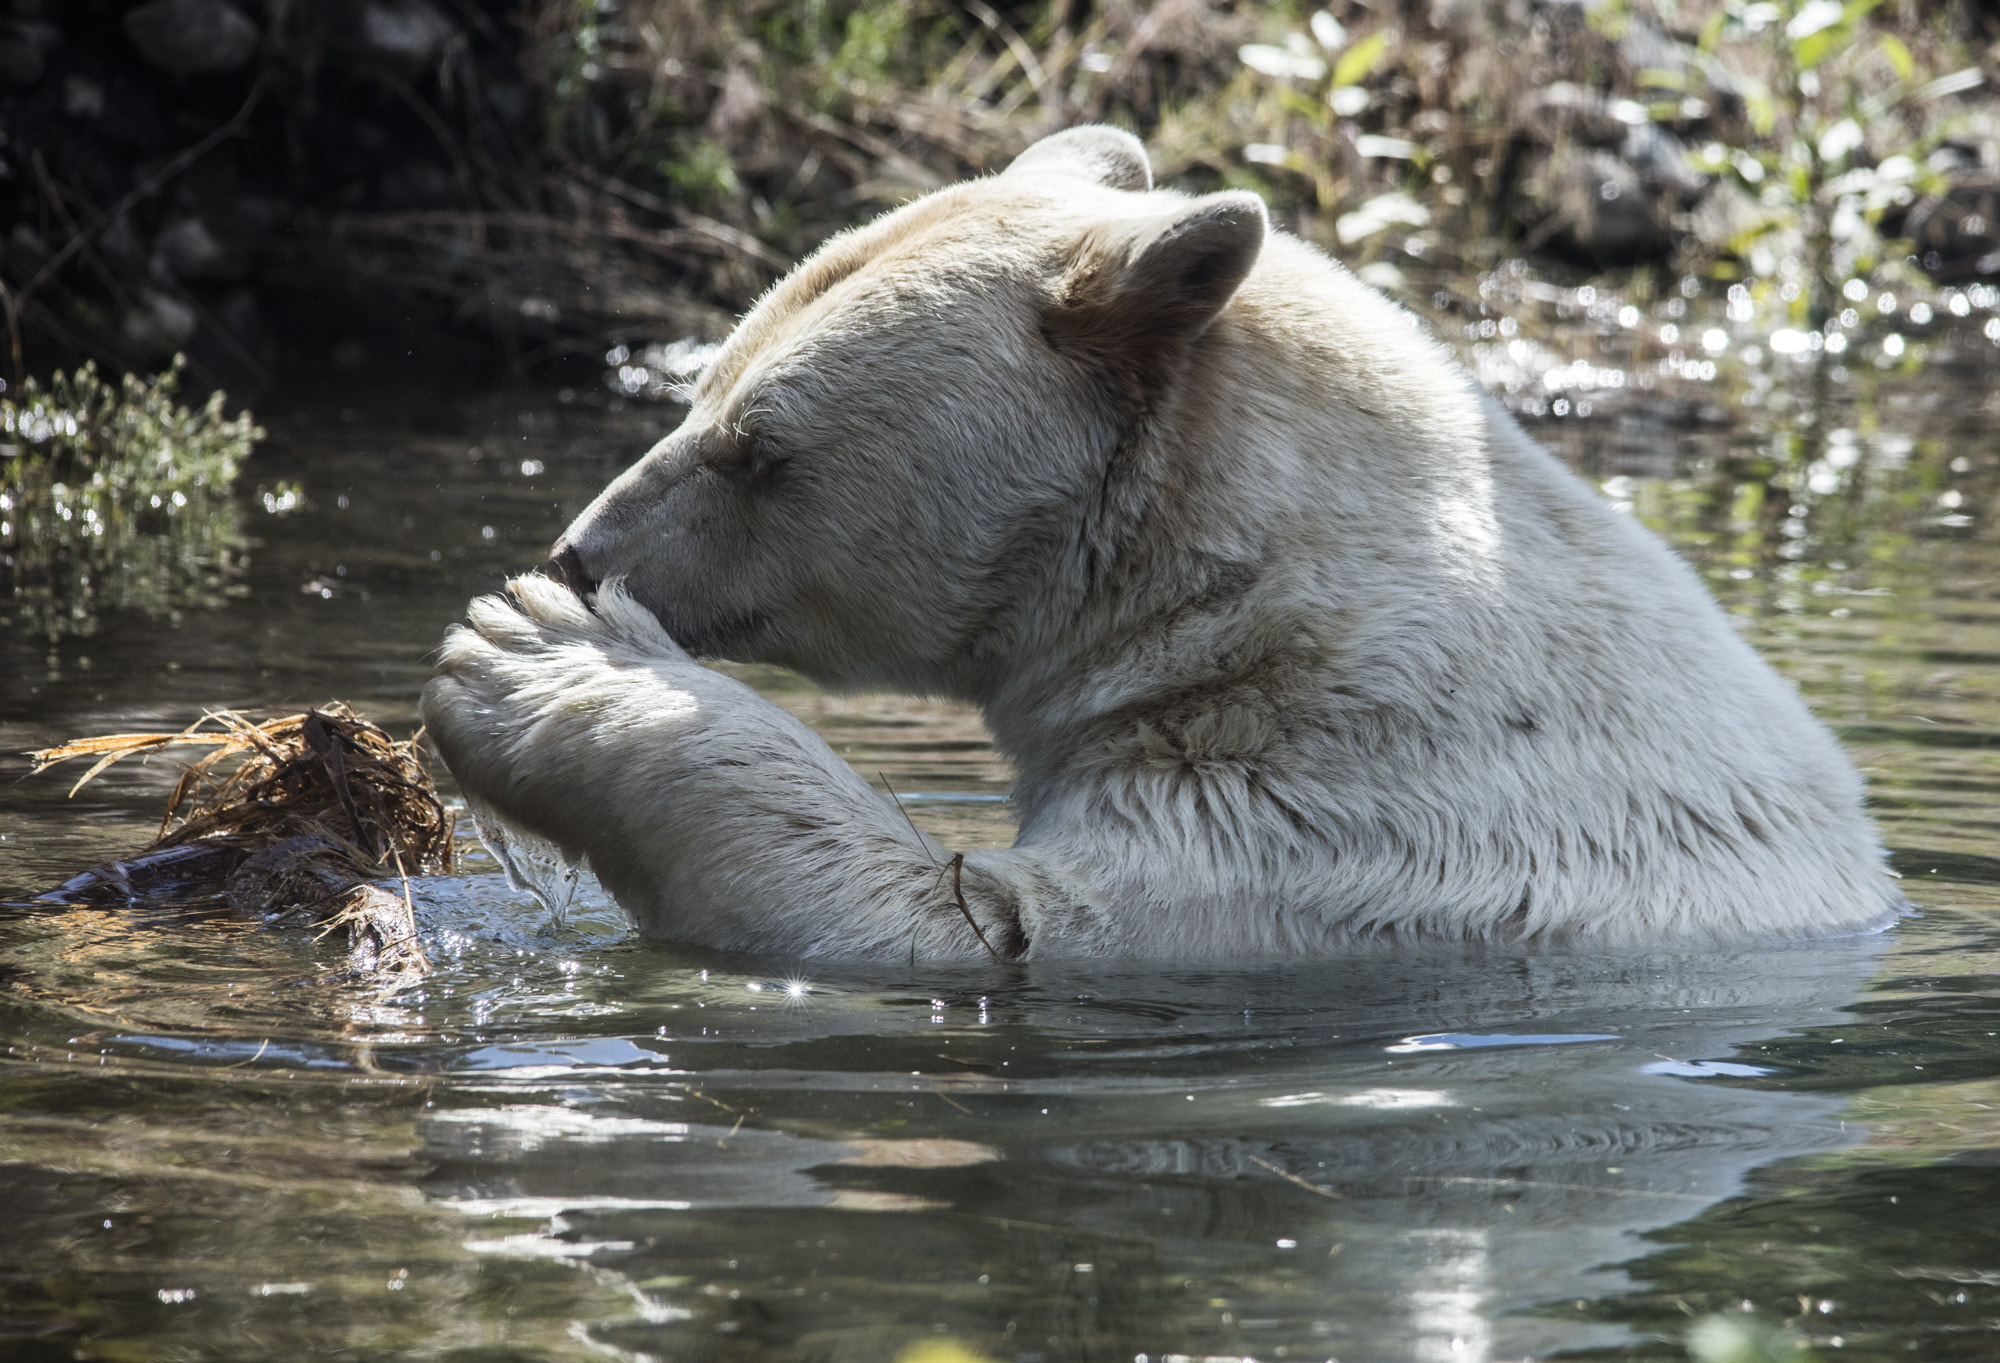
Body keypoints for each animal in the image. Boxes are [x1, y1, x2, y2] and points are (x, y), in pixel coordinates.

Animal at [419, 125, 1902, 959]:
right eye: (698, 386)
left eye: (757, 449)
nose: (579, 552)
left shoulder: (1335, 830)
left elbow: (957, 920)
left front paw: (529, 657)